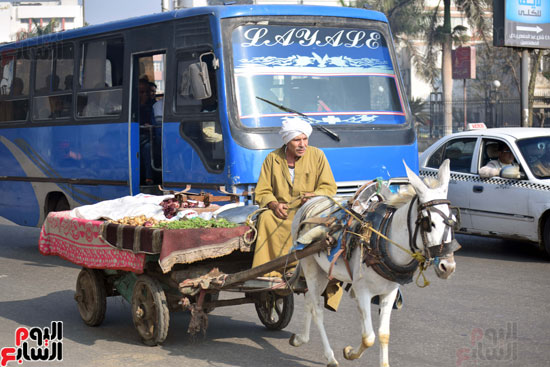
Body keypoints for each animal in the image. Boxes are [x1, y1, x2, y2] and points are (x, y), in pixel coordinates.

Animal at [292, 160, 460, 367]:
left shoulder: (389, 292)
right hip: (310, 265)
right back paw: (330, 356)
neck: (384, 241)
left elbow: (383, 334)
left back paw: (301, 338)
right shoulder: (363, 291)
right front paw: (349, 353)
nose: (448, 267)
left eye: (453, 221)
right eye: (429, 223)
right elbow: (368, 337)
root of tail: (310, 201)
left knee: (309, 299)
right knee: (317, 310)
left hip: (324, 272)